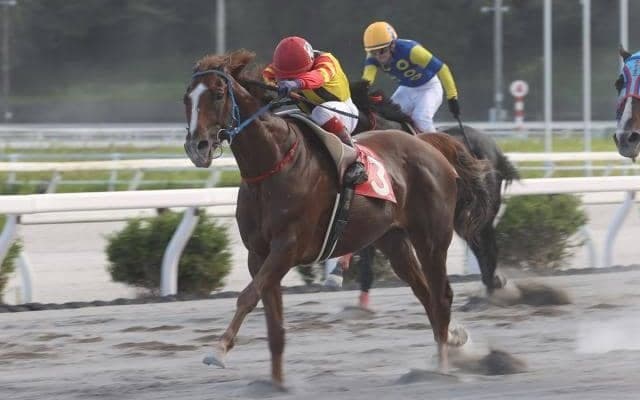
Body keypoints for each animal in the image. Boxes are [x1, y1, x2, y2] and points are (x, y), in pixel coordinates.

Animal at [183, 49, 491, 386]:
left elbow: (248, 296)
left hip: (431, 238)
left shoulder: (287, 247)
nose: (197, 147)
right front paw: (276, 384)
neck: (272, 164)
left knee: (441, 296)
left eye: (218, 93)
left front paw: (218, 350)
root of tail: (428, 144)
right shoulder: (258, 253)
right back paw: (446, 349)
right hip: (393, 241)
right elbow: (274, 324)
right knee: (425, 294)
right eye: (187, 98)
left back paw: (442, 369)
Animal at [350, 80, 520, 292]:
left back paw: (492, 286)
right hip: (462, 213)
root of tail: (495, 148)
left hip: (480, 209)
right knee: (478, 244)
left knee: (487, 245)